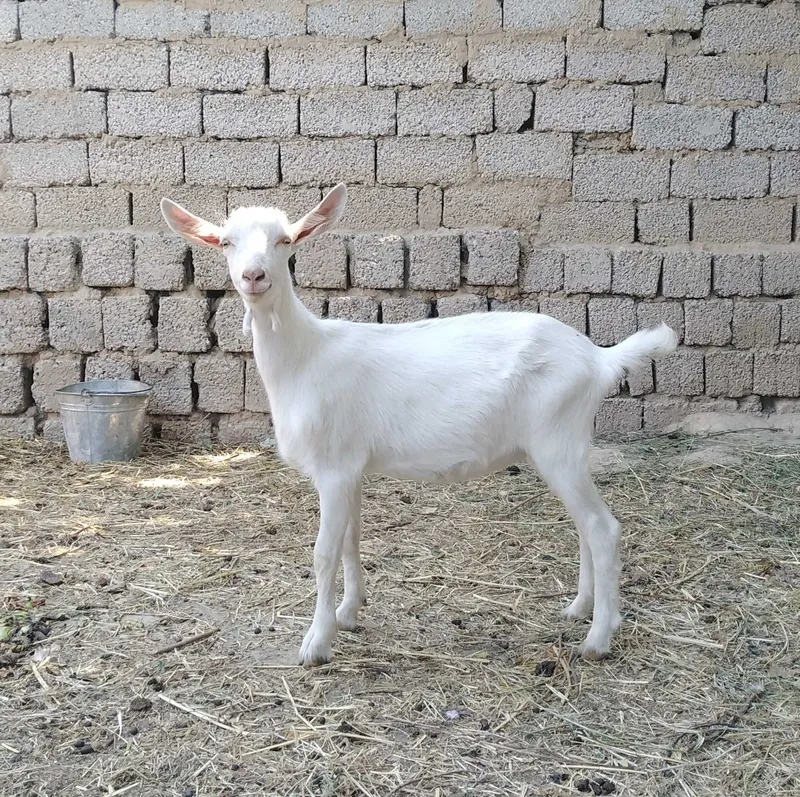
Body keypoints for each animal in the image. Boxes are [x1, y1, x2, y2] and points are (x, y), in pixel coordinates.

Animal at [161, 184, 678, 667]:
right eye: (226, 242)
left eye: (285, 241)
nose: (254, 276)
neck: (304, 358)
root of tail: (599, 359)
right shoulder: (352, 467)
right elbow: (351, 540)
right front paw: (349, 613)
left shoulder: (333, 467)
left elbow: (324, 554)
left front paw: (316, 643)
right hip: (565, 445)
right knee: (584, 526)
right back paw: (578, 608)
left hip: (559, 441)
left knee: (603, 528)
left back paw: (598, 638)